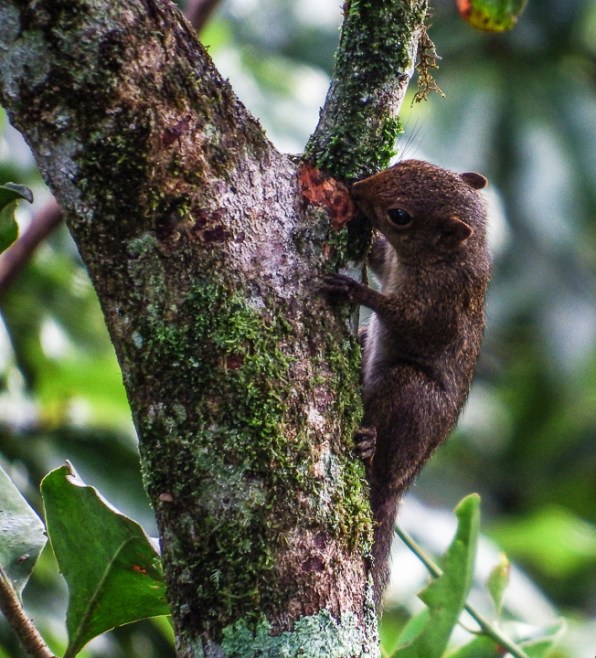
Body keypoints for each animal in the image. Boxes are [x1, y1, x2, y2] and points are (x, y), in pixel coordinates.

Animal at [320, 159, 490, 607]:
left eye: (400, 215)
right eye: (403, 165)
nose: (358, 188)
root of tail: (401, 486)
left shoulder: (441, 305)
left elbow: (406, 318)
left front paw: (354, 288)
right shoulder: (391, 263)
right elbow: (379, 260)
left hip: (409, 393)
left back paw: (371, 445)